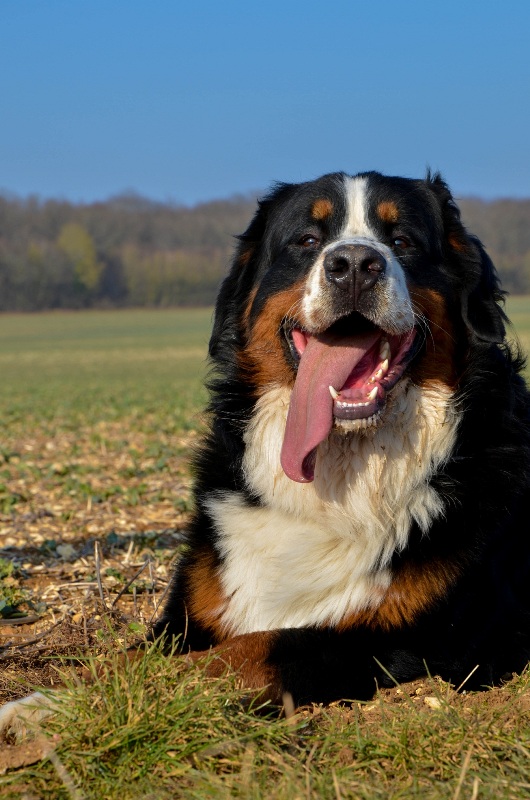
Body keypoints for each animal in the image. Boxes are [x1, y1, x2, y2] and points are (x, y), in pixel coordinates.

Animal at [150, 170, 530, 708]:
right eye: (308, 240)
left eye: (403, 241)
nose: (353, 265)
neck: (342, 466)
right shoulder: (193, 610)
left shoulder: (411, 637)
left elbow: (247, 652)